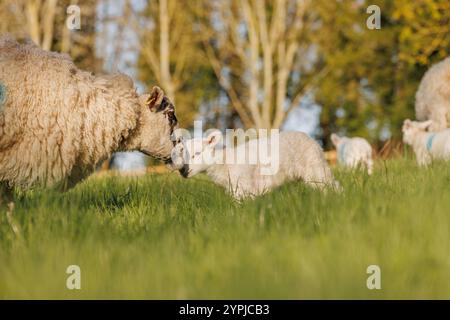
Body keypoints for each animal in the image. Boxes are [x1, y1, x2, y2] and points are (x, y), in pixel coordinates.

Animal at [171, 129, 340, 198]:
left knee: (333, 186)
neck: (225, 162)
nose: (183, 171)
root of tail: (312, 140)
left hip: (316, 169)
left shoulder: (244, 188)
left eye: (197, 153)